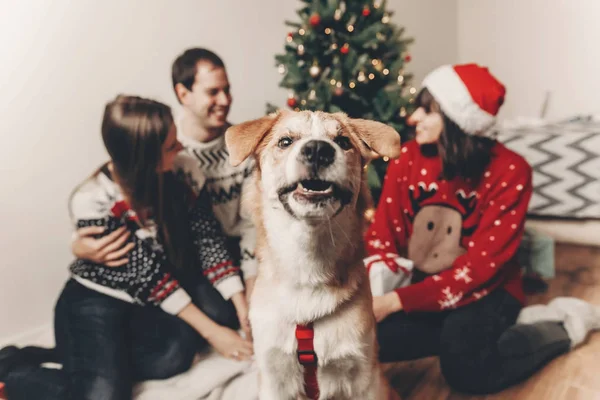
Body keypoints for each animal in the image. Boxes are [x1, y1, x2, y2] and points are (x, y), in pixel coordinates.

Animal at [225, 110, 404, 400]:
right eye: (285, 141)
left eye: (343, 142)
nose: (319, 150)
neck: (308, 268)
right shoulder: (273, 378)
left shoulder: (364, 378)